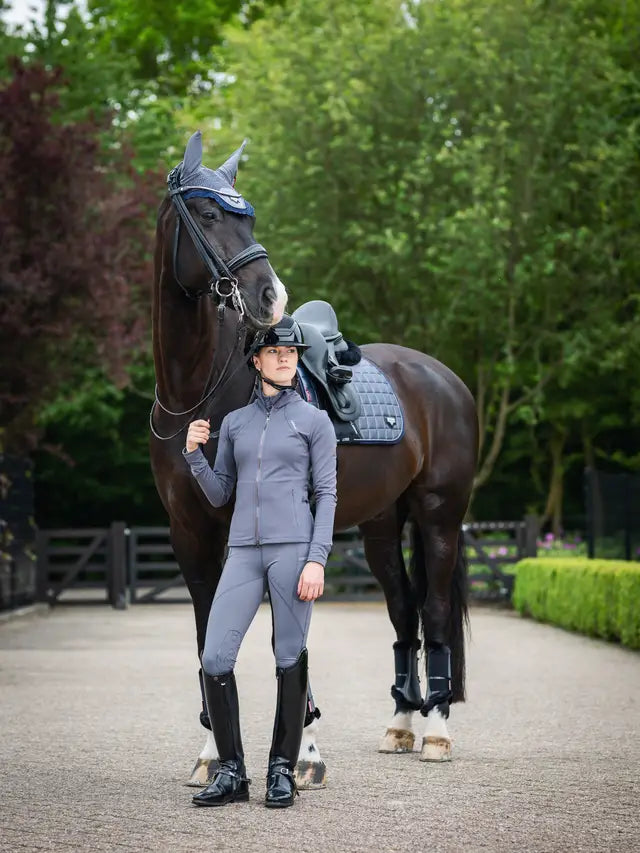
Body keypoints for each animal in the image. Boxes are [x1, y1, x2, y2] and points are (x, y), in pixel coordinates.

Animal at [150, 132, 478, 787]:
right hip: (382, 526)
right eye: (208, 215)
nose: (269, 296)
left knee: (432, 610)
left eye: (248, 216)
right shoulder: (189, 535)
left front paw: (303, 751)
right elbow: (208, 635)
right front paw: (212, 754)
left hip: (439, 516)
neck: (196, 389)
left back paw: (436, 730)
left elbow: (286, 633)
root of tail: (443, 379)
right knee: (403, 610)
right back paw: (400, 725)